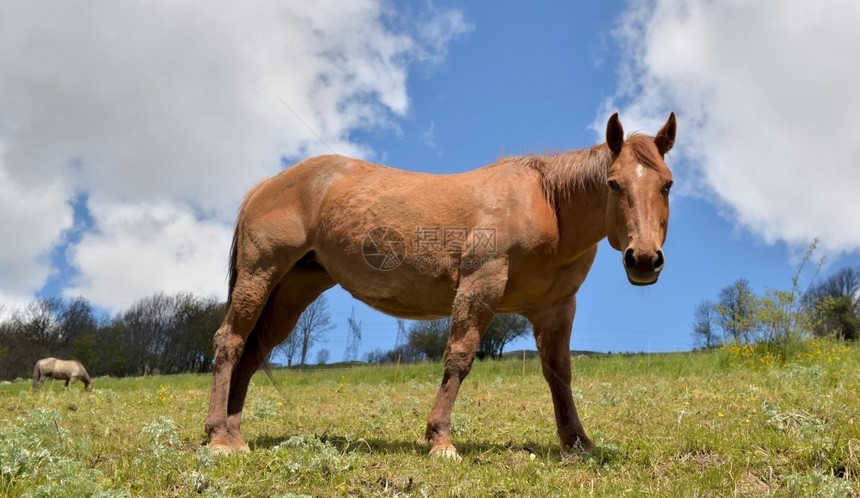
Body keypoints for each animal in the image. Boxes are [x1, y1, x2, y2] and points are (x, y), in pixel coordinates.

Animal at [205, 113, 676, 460]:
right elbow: (460, 358)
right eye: (614, 183)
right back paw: (218, 438)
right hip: (260, 276)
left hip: (291, 292)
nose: (643, 259)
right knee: (230, 341)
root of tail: (264, 186)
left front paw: (578, 441)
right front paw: (440, 440)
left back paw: (234, 433)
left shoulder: (555, 308)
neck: (545, 204)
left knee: (252, 353)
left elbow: (559, 372)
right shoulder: (481, 285)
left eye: (667, 184)